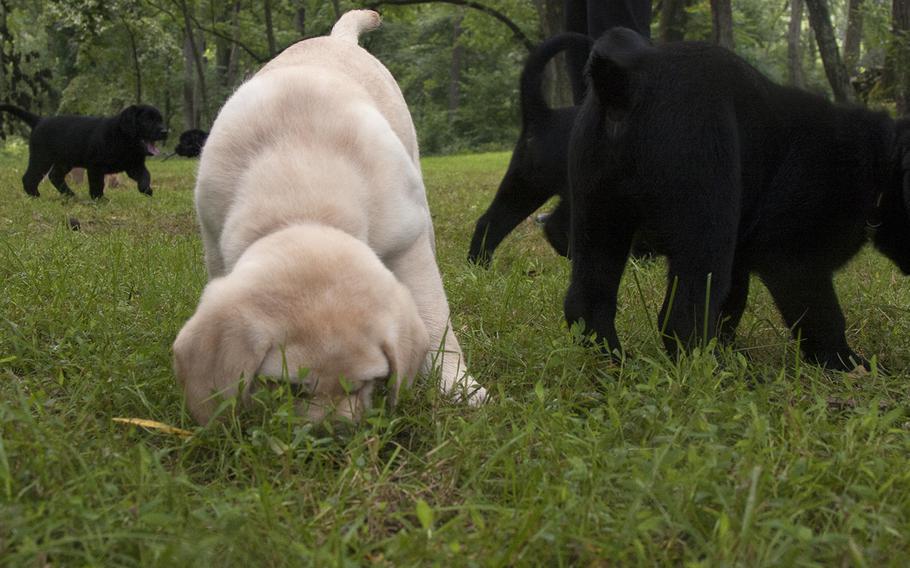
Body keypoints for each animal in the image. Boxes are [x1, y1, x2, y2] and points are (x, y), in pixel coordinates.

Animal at [0, 104, 169, 200]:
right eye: (147, 120)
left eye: (160, 119)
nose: (165, 131)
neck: (123, 139)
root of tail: (39, 120)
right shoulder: (96, 166)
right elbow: (97, 184)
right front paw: (99, 199)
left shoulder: (135, 165)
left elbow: (145, 176)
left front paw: (147, 191)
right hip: (42, 158)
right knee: (30, 177)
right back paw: (35, 196)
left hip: (64, 161)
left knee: (55, 176)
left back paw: (70, 195)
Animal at [172, 11, 484, 424]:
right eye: (287, 388)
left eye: (370, 382)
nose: (336, 433)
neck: (302, 201)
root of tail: (339, 40)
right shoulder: (214, 243)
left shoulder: (406, 246)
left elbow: (436, 324)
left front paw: (458, 385)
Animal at [568, 28, 910, 370]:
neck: (881, 162)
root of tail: (629, 79)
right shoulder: (794, 259)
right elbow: (823, 316)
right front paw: (847, 363)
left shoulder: (741, 258)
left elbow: (732, 305)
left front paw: (730, 349)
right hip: (705, 225)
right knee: (682, 315)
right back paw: (714, 372)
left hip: (600, 220)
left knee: (588, 301)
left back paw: (613, 362)